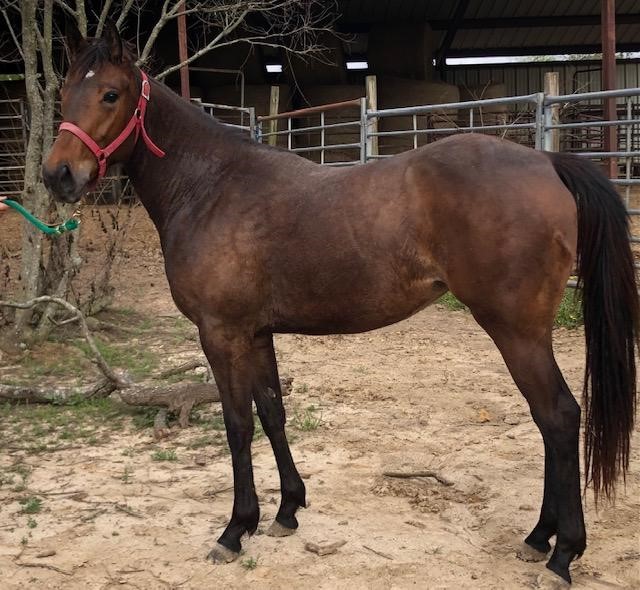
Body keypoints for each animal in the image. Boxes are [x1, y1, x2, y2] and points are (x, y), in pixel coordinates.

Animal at [42, 23, 638, 584]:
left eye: (111, 94)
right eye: (65, 91)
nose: (57, 175)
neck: (210, 186)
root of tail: (547, 161)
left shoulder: (221, 333)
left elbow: (237, 425)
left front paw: (235, 529)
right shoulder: (256, 333)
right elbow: (272, 412)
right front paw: (286, 510)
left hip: (516, 331)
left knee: (558, 417)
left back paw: (561, 553)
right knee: (548, 421)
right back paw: (539, 537)